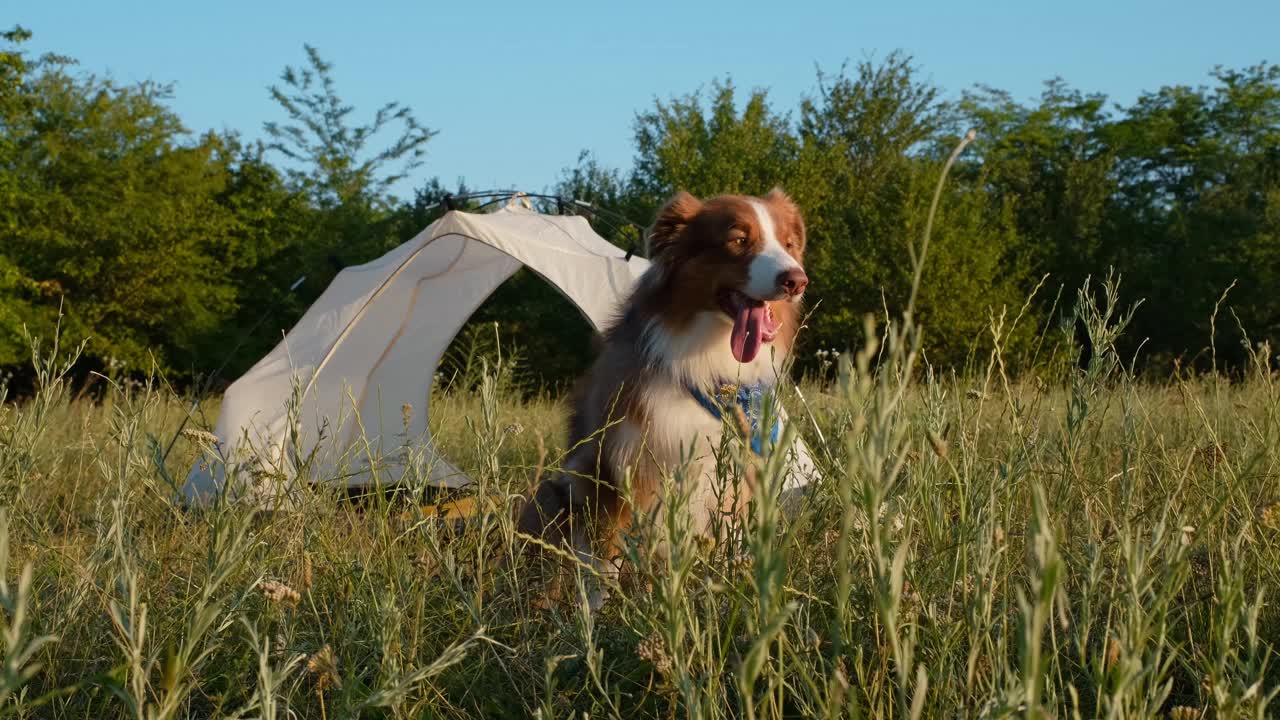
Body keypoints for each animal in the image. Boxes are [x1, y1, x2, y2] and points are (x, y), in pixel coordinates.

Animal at [512, 185, 803, 594]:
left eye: (789, 244)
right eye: (739, 240)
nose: (796, 280)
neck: (708, 370)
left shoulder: (736, 474)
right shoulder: (613, 468)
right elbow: (605, 561)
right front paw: (600, 606)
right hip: (552, 494)